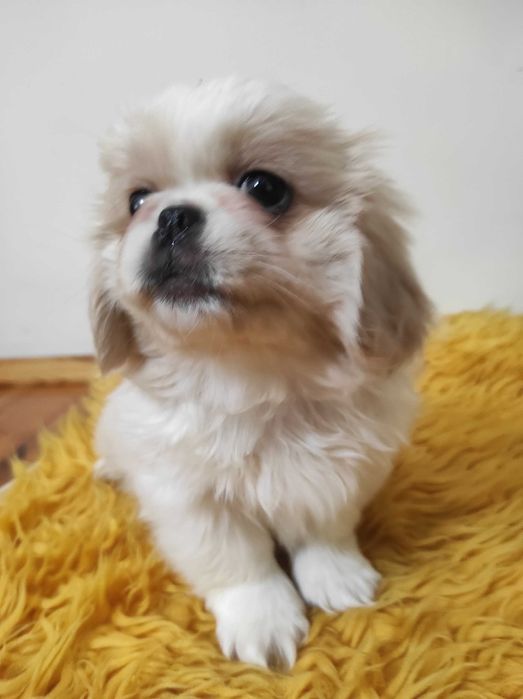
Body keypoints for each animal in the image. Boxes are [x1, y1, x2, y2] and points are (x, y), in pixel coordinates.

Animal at [90, 77, 431, 669]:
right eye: (136, 200)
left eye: (265, 188)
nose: (171, 215)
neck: (253, 375)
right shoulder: (190, 498)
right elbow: (238, 563)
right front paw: (263, 624)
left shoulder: (342, 473)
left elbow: (324, 532)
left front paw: (337, 580)